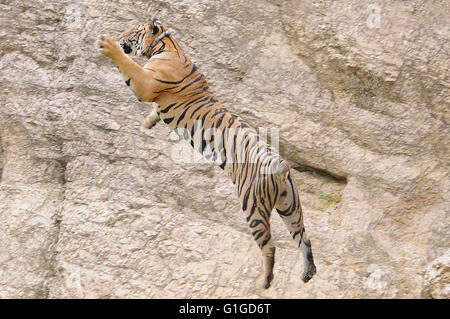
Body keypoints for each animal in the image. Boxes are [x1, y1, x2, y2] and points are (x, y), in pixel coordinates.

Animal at [98, 19, 316, 290]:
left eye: (133, 31)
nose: (120, 35)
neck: (166, 45)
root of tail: (281, 164)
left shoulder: (145, 82)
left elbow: (128, 65)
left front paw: (109, 46)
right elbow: (154, 111)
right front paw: (148, 123)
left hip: (253, 205)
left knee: (270, 246)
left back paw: (264, 282)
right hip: (290, 205)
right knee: (304, 238)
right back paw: (308, 272)